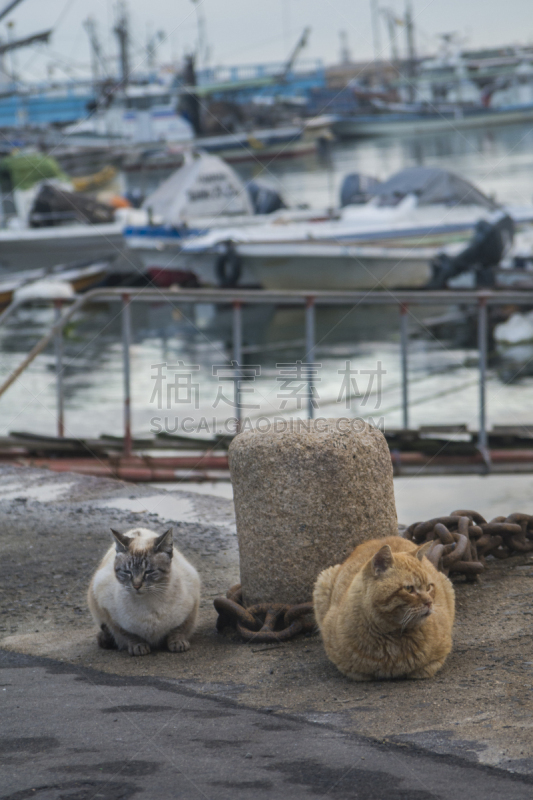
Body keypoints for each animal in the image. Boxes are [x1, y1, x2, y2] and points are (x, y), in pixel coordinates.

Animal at [87, 524, 200, 656]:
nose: (136, 586)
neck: (149, 603)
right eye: (127, 572)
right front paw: (139, 646)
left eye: (149, 572)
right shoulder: (109, 613)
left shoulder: (191, 605)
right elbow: (128, 634)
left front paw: (178, 643)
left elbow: (179, 629)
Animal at [314, 536, 456, 680]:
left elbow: (422, 670)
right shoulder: (347, 666)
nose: (429, 602)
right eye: (409, 589)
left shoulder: (439, 655)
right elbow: (360, 673)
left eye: (429, 587)